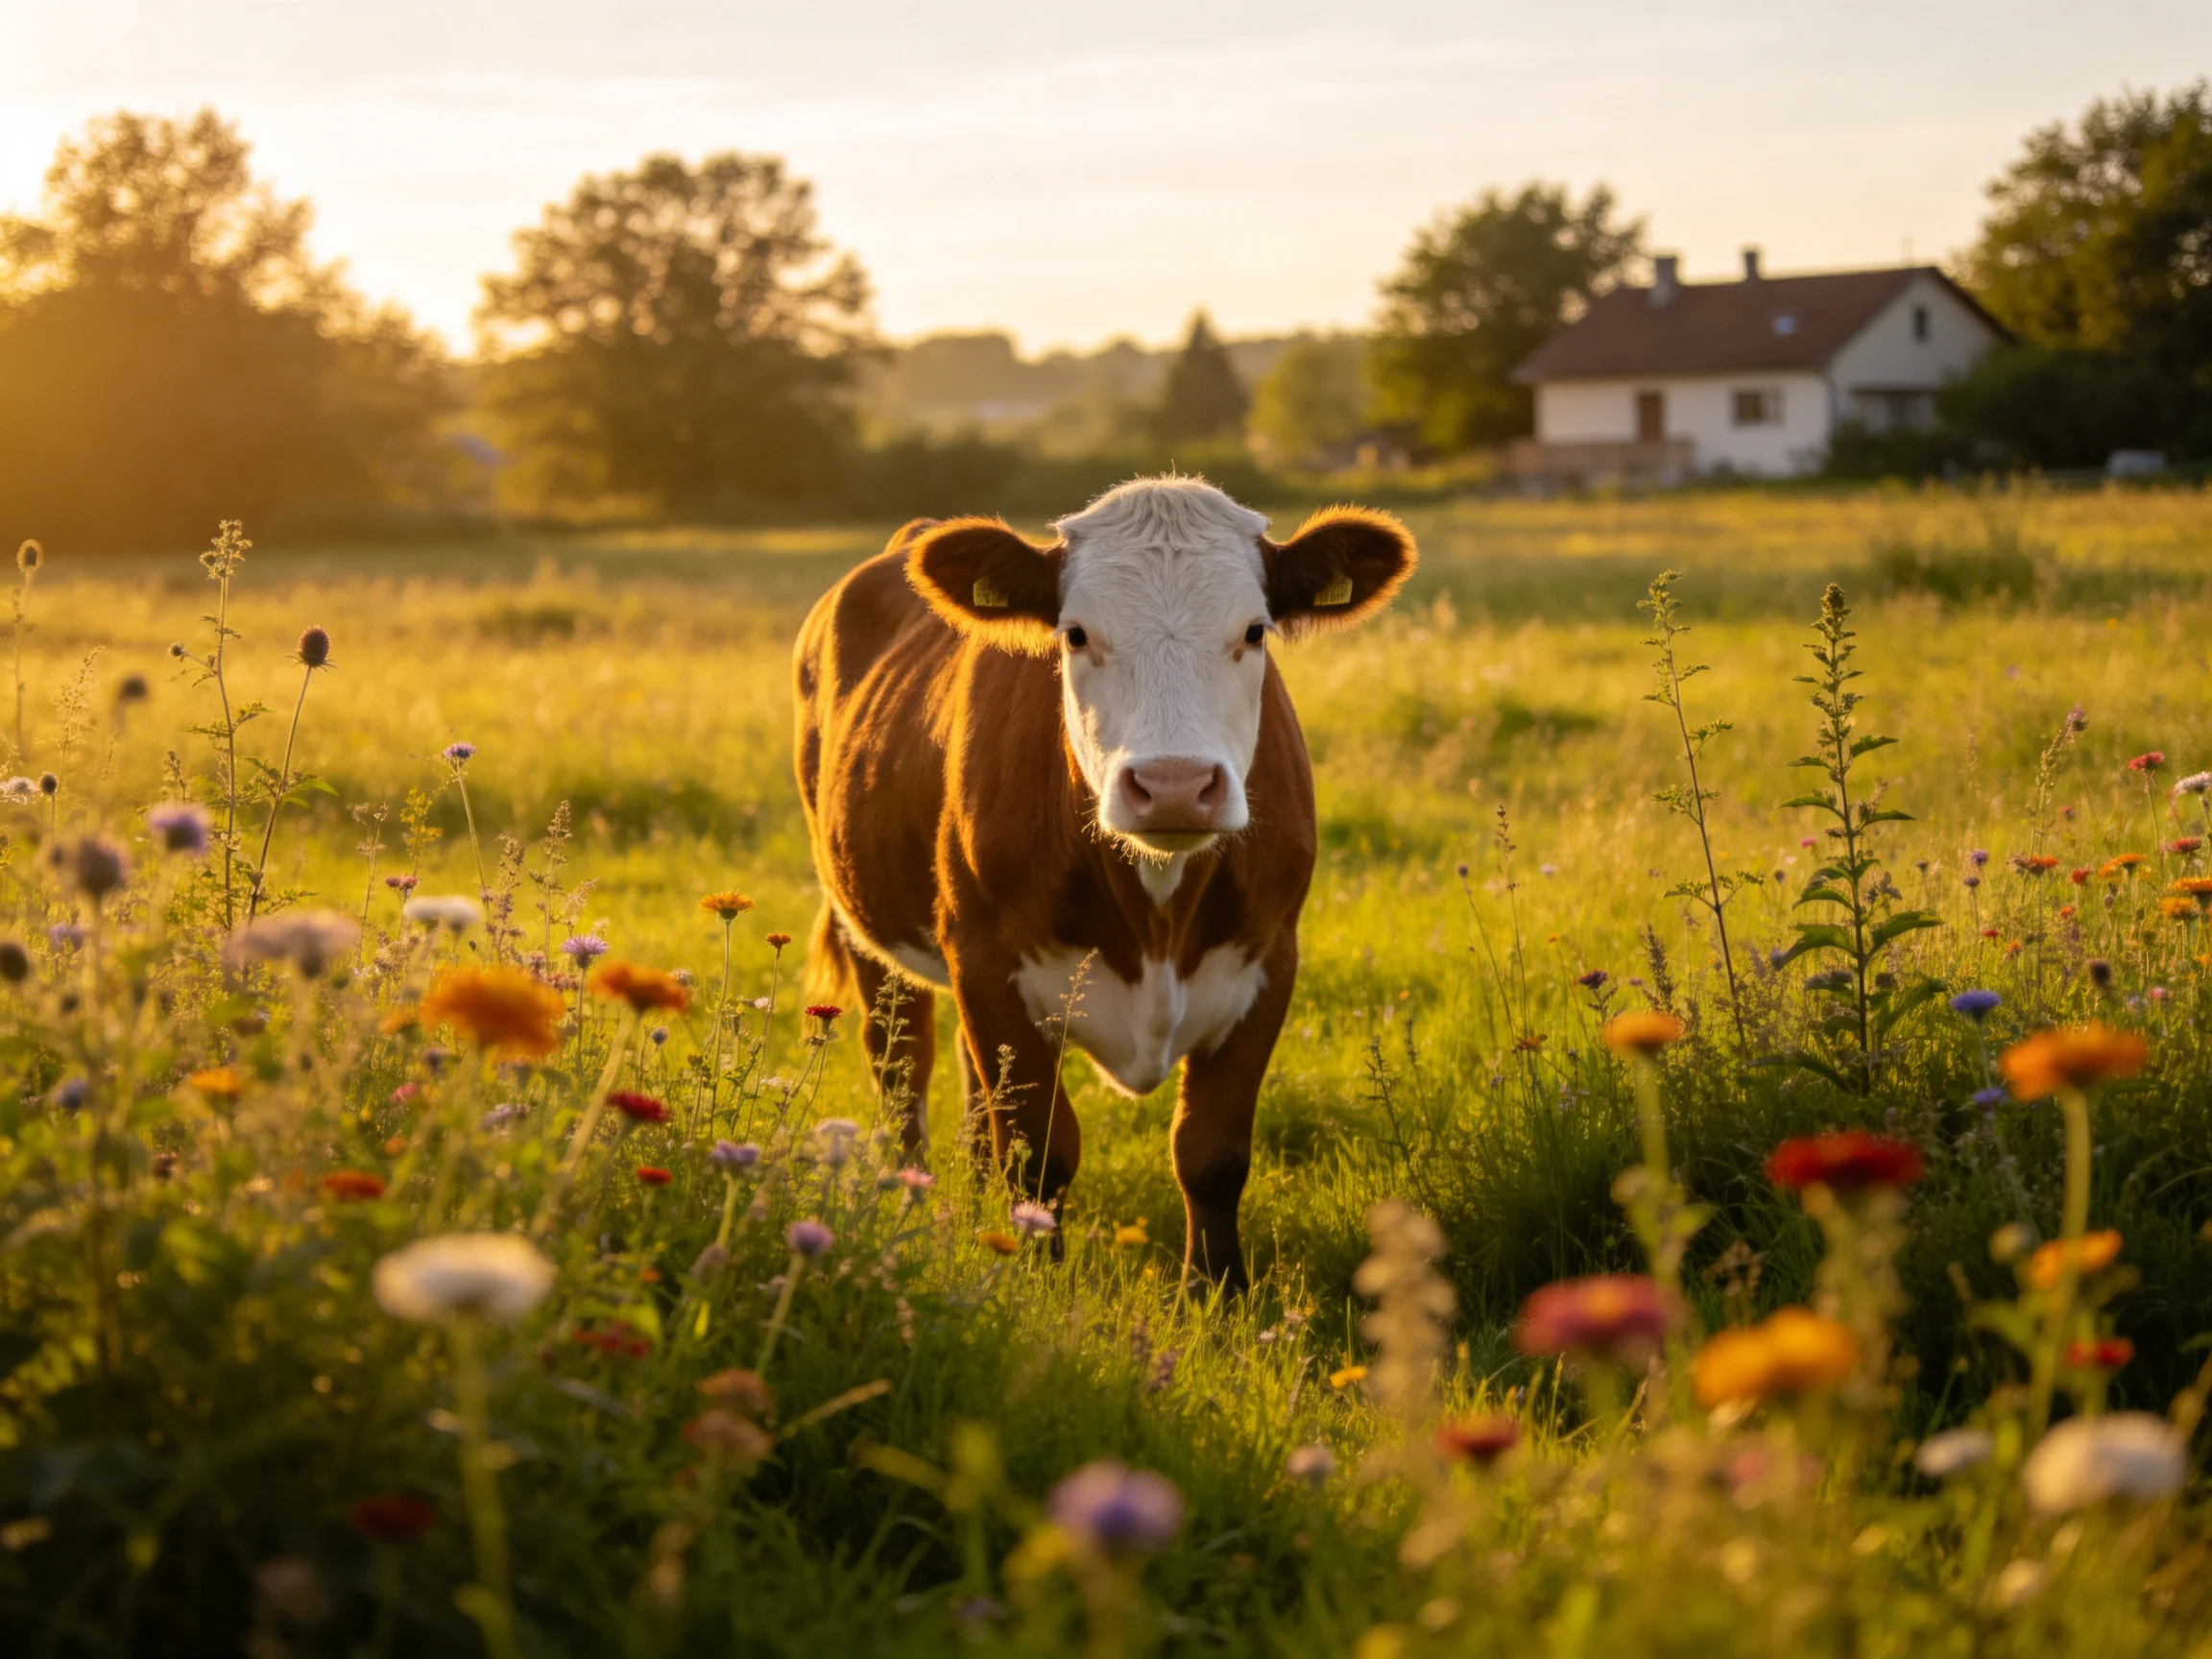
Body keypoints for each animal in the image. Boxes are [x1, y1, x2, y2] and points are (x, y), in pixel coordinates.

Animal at [793, 475, 1416, 1288]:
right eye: (1076, 634)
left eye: (1255, 631)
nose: (1175, 786)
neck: (1156, 907)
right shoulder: (987, 963)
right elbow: (1041, 1154)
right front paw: (1035, 1285)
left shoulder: (1270, 961)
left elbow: (1211, 1156)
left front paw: (1216, 1296)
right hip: (863, 922)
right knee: (901, 1062)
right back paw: (909, 1197)